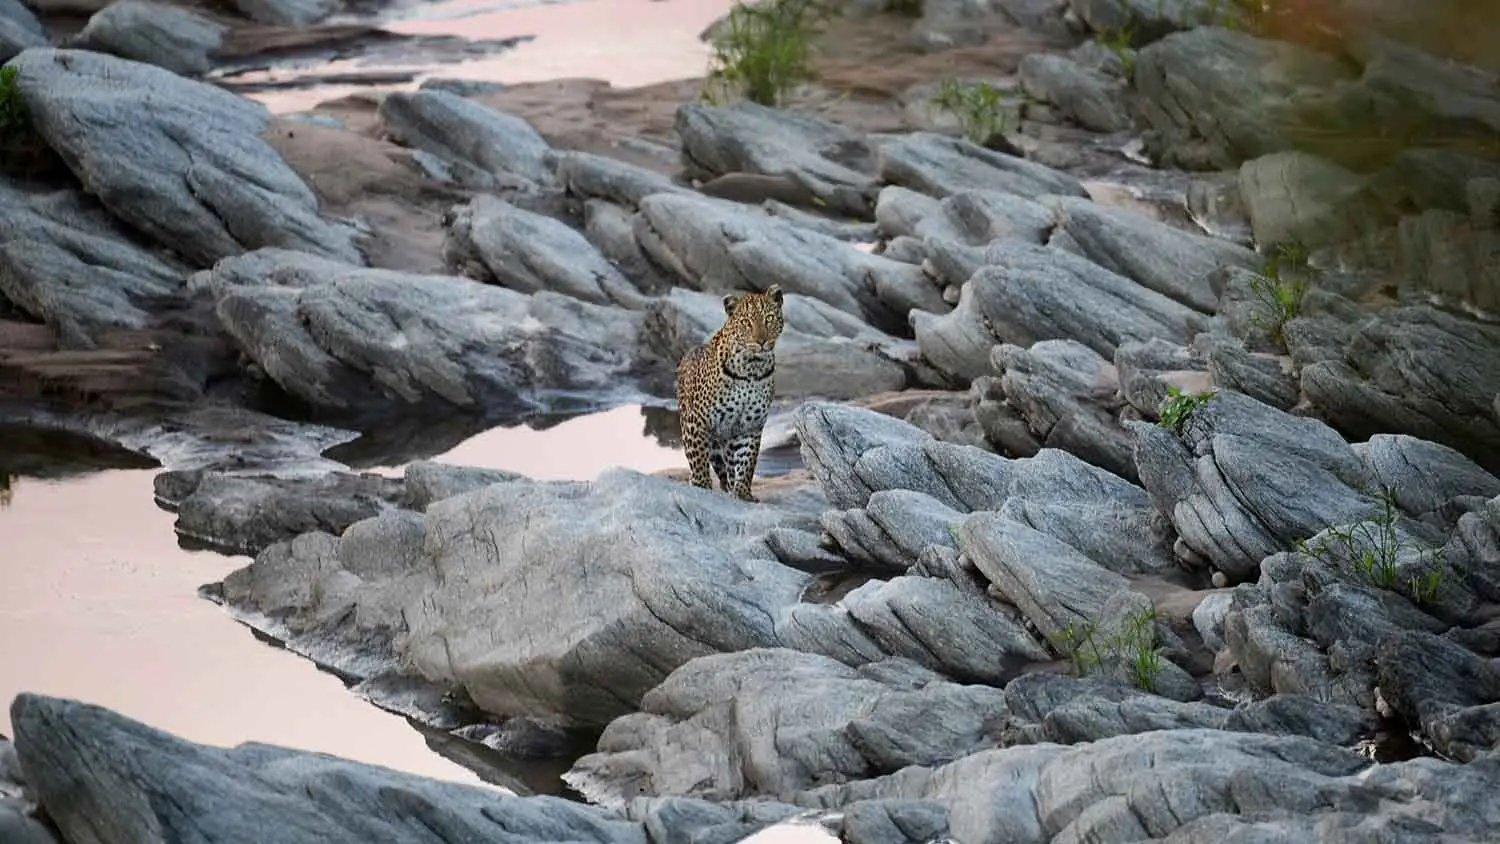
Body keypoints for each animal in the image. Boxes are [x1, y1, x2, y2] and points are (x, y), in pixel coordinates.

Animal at [675, 284, 785, 502]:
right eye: (746, 322)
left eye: (769, 318)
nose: (761, 341)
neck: (752, 369)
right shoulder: (697, 420)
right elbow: (698, 457)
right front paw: (701, 485)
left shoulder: (750, 426)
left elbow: (746, 461)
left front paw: (742, 492)